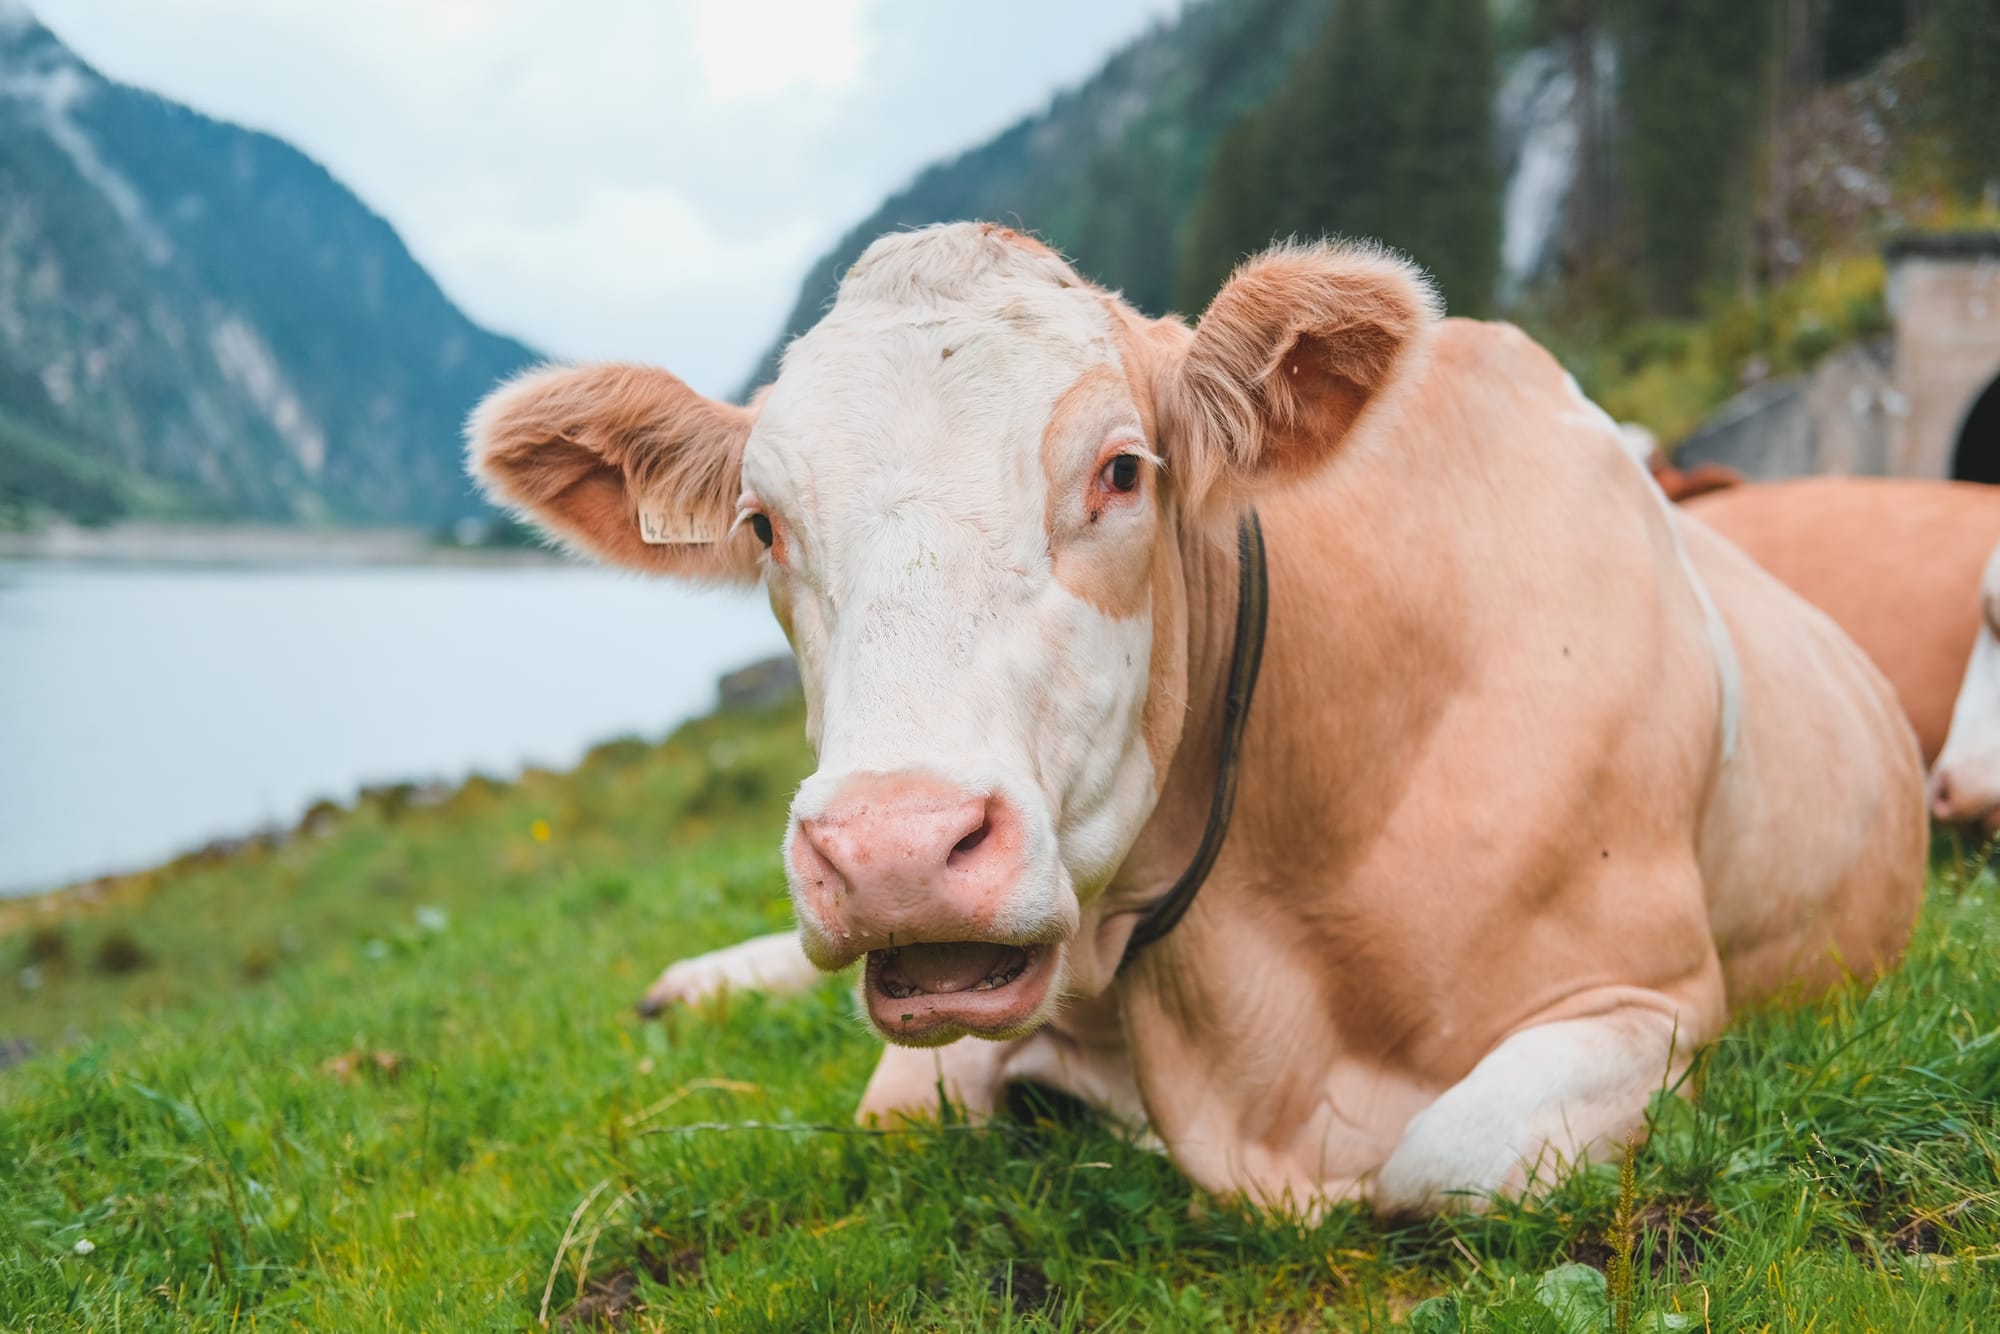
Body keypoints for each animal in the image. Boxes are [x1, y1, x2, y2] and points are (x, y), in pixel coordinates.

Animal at [464, 224, 1920, 1216]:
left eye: (1121, 470)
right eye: (765, 521)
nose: (893, 848)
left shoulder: (1653, 995)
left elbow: (1442, 1159)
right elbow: (901, 1105)